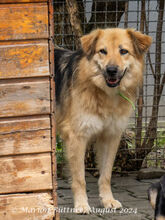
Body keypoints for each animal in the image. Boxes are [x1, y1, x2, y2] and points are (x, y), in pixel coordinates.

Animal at [54, 27, 152, 213]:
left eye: (123, 51)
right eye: (103, 51)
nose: (111, 70)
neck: (105, 94)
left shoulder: (110, 136)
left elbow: (106, 174)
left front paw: (108, 200)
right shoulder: (77, 137)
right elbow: (80, 178)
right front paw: (81, 204)